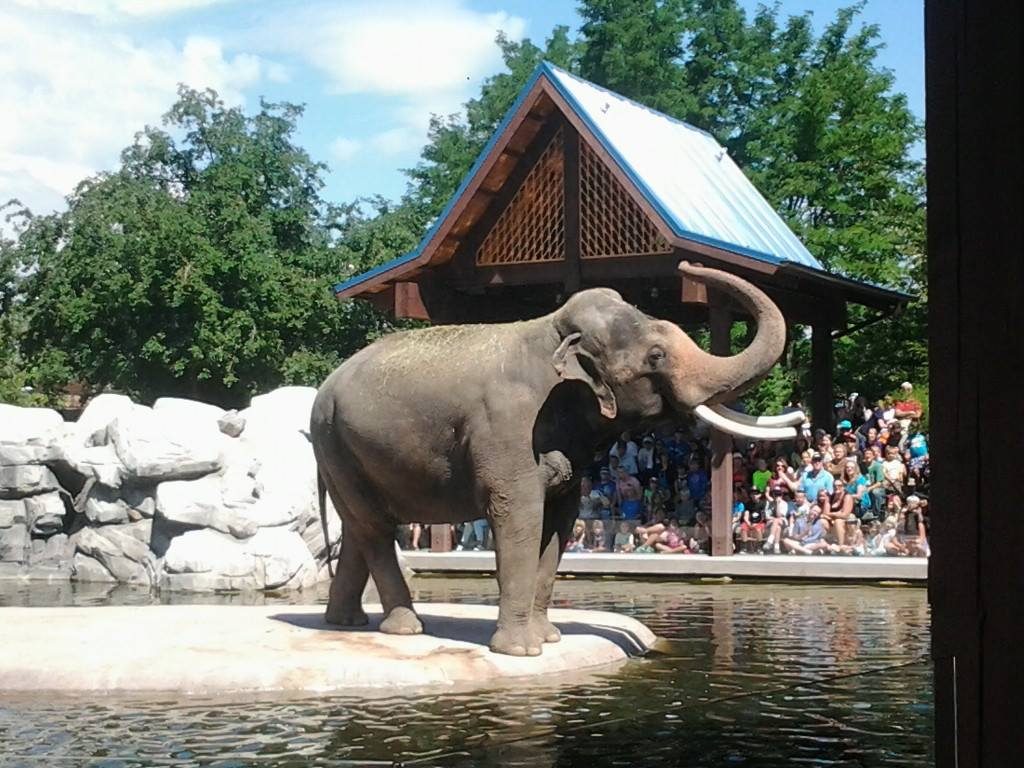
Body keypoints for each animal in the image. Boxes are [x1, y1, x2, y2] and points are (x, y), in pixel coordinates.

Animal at [311, 264, 790, 655]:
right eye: (656, 356)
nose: (686, 265)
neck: (553, 332)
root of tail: (324, 387)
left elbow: (561, 519)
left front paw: (550, 639)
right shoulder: (509, 429)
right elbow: (520, 516)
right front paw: (521, 651)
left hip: (342, 452)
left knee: (358, 527)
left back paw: (345, 623)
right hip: (335, 445)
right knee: (374, 527)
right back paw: (405, 628)